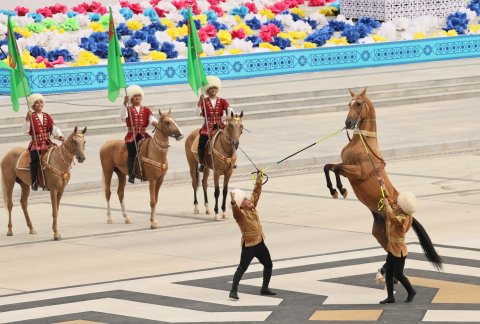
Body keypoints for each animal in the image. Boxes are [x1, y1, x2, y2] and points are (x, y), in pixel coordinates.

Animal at [322, 88, 442, 268]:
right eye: (349, 104)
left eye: (359, 104)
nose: (348, 123)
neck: (363, 143)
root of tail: (410, 215)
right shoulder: (347, 169)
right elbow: (328, 167)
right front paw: (334, 190)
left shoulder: (357, 172)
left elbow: (336, 169)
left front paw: (340, 190)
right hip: (380, 232)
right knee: (391, 251)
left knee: (399, 251)